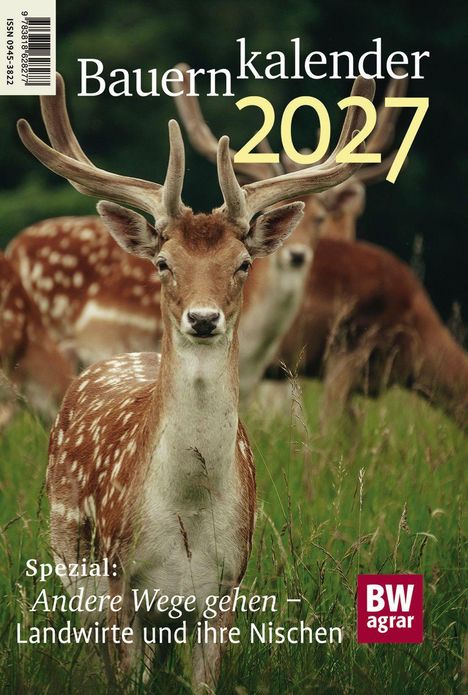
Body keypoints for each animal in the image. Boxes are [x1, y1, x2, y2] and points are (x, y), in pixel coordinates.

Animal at [16, 72, 372, 686]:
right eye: (164, 263)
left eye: (243, 263)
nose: (203, 318)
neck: (187, 522)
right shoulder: (121, 584)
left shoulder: (227, 588)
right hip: (72, 564)